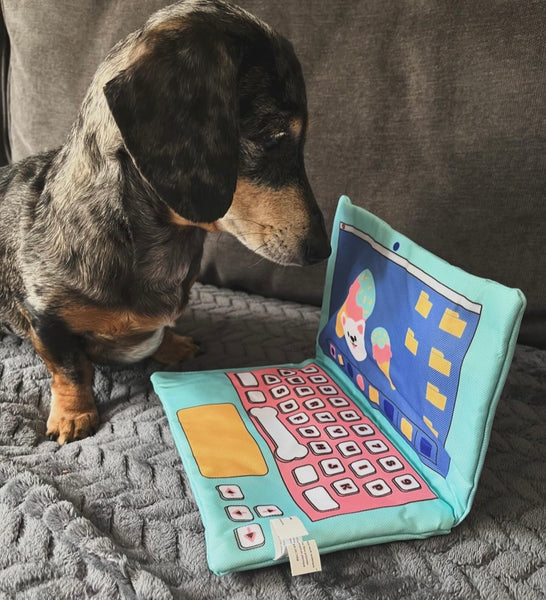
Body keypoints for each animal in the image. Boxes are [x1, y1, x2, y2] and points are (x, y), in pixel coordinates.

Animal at [0, 1, 328, 446]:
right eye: (273, 136)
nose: (324, 249)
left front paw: (171, 344)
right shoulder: (44, 318)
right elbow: (70, 369)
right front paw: (74, 414)